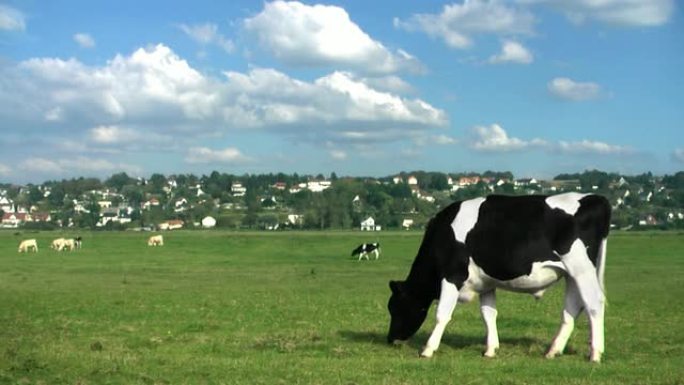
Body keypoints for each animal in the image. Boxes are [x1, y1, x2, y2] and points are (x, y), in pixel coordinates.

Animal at [388, 194, 612, 362]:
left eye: (395, 307)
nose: (391, 339)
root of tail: (595, 198)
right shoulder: (485, 283)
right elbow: (488, 314)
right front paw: (490, 350)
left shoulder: (452, 275)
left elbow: (442, 314)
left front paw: (428, 349)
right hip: (571, 274)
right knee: (572, 308)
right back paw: (553, 350)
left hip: (582, 269)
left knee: (594, 303)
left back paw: (595, 354)